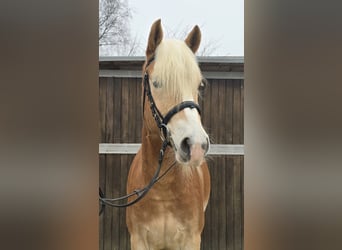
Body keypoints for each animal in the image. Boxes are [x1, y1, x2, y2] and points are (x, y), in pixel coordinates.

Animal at [125, 20, 210, 250]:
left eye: (199, 85)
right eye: (156, 83)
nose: (196, 146)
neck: (163, 191)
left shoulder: (191, 241)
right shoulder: (139, 241)